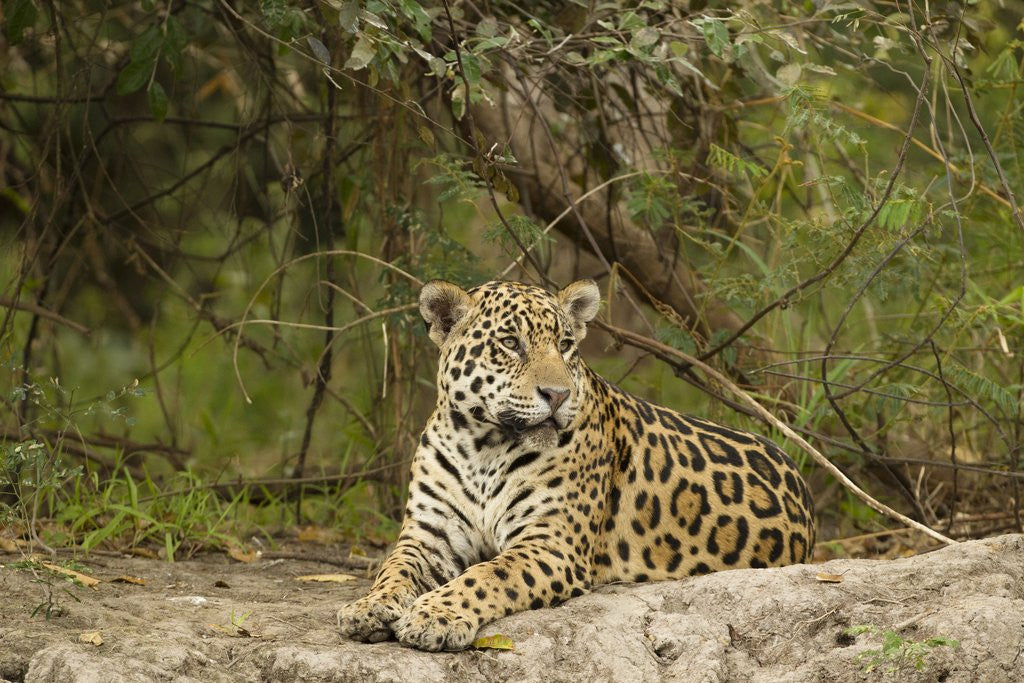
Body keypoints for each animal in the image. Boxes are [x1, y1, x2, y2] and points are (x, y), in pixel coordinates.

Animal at [337, 279, 815, 651]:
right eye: (510, 344)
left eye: (566, 346)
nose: (558, 394)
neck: (482, 447)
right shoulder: (429, 535)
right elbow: (394, 568)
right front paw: (367, 607)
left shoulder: (551, 542)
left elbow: (487, 574)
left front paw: (434, 615)